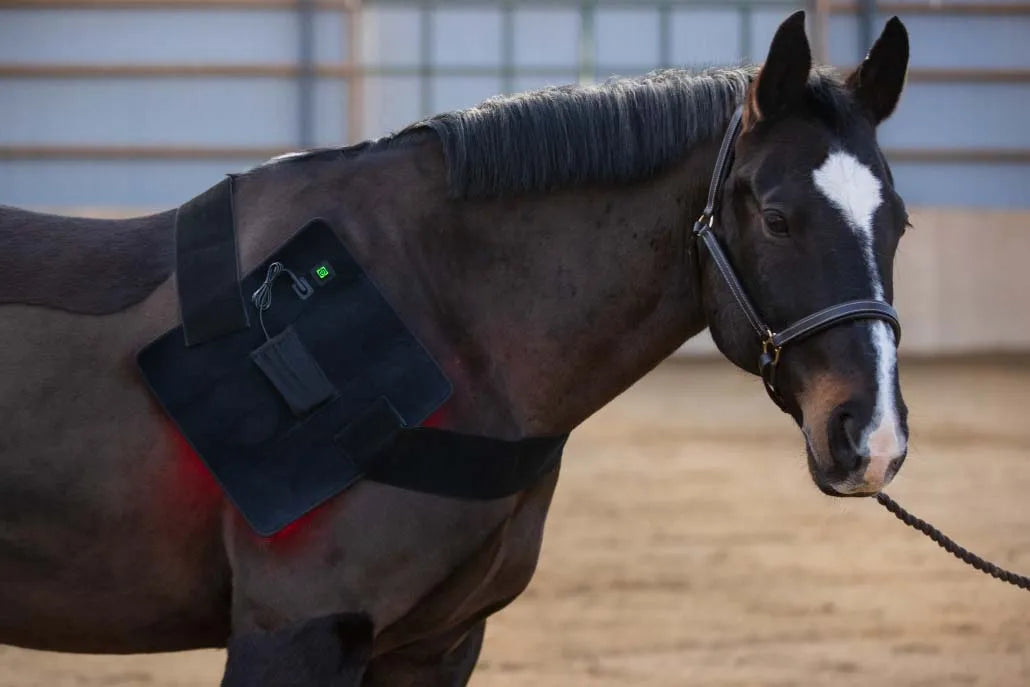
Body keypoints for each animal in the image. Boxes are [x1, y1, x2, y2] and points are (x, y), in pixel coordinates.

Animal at [0, 11, 912, 685]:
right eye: (778, 217)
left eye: (898, 222)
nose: (871, 437)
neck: (438, 317)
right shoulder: (294, 629)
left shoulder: (435, 645)